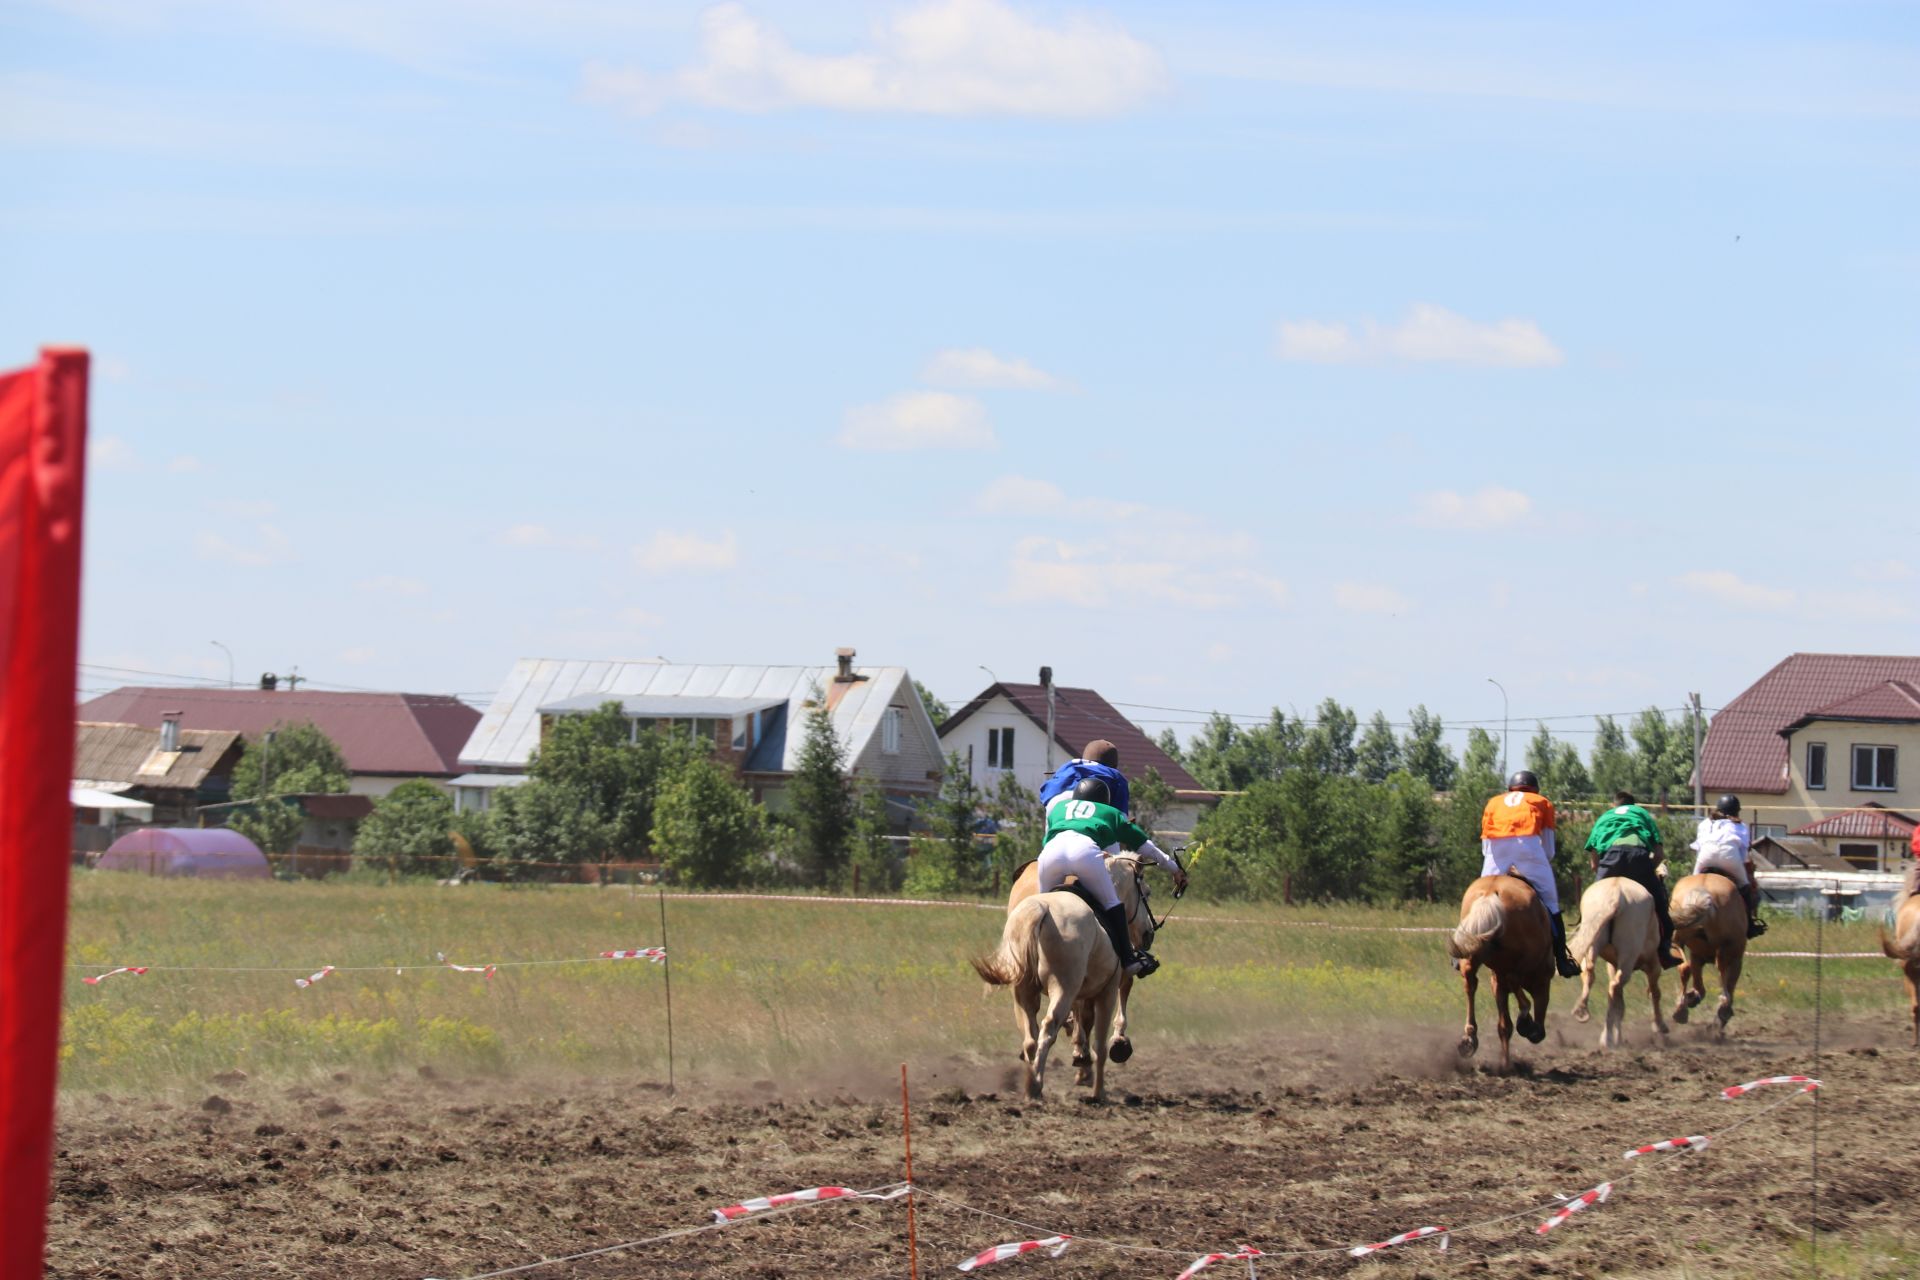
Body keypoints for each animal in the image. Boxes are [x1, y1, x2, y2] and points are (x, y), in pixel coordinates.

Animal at [967, 852, 1144, 1105]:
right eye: (1146, 892)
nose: (1147, 935)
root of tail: (1040, 909)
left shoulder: (1084, 993)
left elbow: (1083, 1025)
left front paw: (1083, 1063)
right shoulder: (1106, 993)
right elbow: (1099, 1045)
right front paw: (1098, 1091)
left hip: (1022, 992)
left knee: (1030, 1038)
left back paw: (1032, 1082)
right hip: (1063, 988)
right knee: (1048, 1029)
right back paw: (1036, 1086)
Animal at [1443, 871, 1551, 1074]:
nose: (1539, 1034)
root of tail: (1490, 893)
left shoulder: (1497, 982)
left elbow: (1504, 1026)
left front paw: (1506, 1065)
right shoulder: (1538, 976)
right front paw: (1528, 1025)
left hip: (1474, 955)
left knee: (1470, 981)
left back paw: (1469, 1038)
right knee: (1512, 980)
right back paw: (1525, 1017)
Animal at [1574, 882, 1666, 1051]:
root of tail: (1615, 896)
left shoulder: (1613, 965)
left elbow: (1620, 1002)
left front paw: (1619, 1038)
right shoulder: (1653, 965)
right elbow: (1655, 993)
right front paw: (1659, 1025)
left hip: (1593, 942)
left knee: (1590, 974)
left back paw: (1583, 1011)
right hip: (1628, 956)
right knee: (1614, 986)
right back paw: (1607, 1038)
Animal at [1674, 875, 1751, 1036]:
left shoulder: (1696, 956)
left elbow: (1699, 987)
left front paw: (1691, 997)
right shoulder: (1736, 960)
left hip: (1676, 941)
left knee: (1684, 968)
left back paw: (1681, 1010)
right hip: (1727, 950)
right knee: (1722, 972)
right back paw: (1723, 1010)